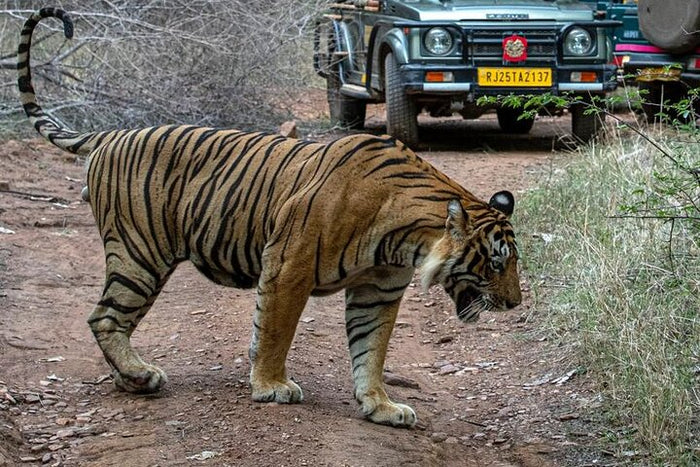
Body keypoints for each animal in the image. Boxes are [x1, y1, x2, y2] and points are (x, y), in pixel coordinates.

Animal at [17, 8, 521, 428]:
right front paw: (271, 385)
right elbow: (276, 329)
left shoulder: (378, 291)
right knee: (104, 317)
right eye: (496, 263)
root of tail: (110, 134)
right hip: (139, 253)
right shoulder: (288, 266)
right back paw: (141, 376)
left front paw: (380, 405)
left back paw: (132, 379)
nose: (515, 304)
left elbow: (371, 350)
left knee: (111, 319)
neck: (406, 241)